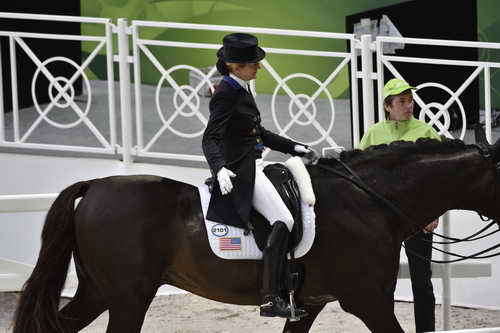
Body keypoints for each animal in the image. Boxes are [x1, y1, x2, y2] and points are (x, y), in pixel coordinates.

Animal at [10, 137, 500, 330]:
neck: (370, 201)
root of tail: (94, 185)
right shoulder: (369, 302)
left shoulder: (310, 304)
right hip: (129, 297)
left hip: (98, 290)